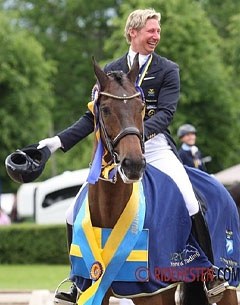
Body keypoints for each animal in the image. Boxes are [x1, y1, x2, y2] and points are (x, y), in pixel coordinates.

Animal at [69, 57, 238, 304]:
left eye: (141, 107)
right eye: (106, 110)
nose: (134, 164)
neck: (110, 211)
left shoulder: (153, 292)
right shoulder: (92, 290)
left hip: (228, 284)